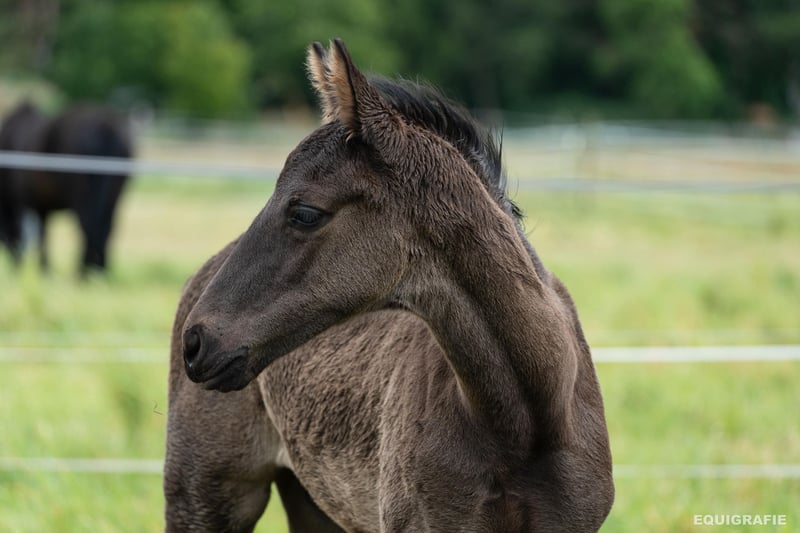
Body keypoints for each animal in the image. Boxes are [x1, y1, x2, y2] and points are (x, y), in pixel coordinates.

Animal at [0, 102, 133, 274]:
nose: (14, 265)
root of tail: (105, 128)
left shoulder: (22, 202)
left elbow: (37, 235)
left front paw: (43, 269)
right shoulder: (41, 206)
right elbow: (43, 235)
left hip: (83, 197)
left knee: (88, 226)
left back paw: (84, 272)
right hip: (113, 195)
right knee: (105, 228)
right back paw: (99, 270)